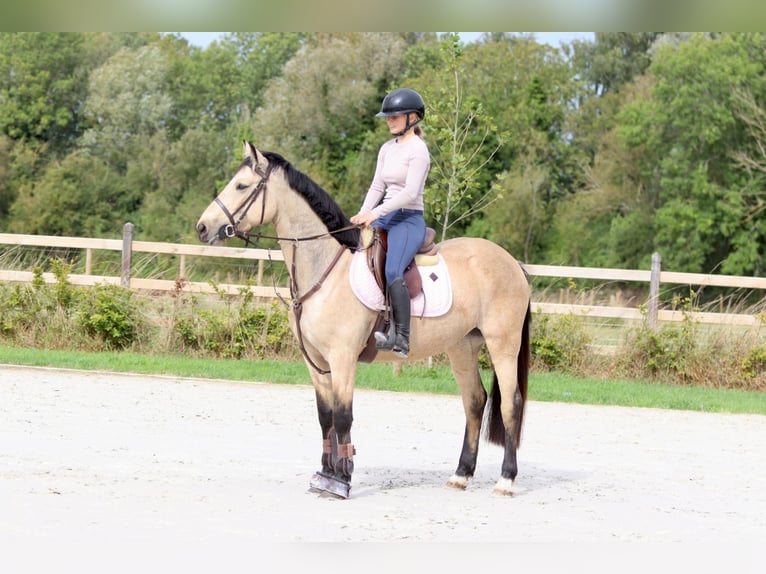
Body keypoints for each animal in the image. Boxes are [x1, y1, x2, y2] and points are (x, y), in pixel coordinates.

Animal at [196, 141, 531, 499]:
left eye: (241, 186)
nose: (202, 227)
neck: (325, 268)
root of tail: (511, 261)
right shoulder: (317, 363)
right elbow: (325, 417)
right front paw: (325, 474)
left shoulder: (343, 358)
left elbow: (343, 416)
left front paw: (341, 481)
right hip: (462, 347)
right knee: (474, 402)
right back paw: (461, 475)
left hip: (502, 344)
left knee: (511, 404)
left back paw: (506, 480)